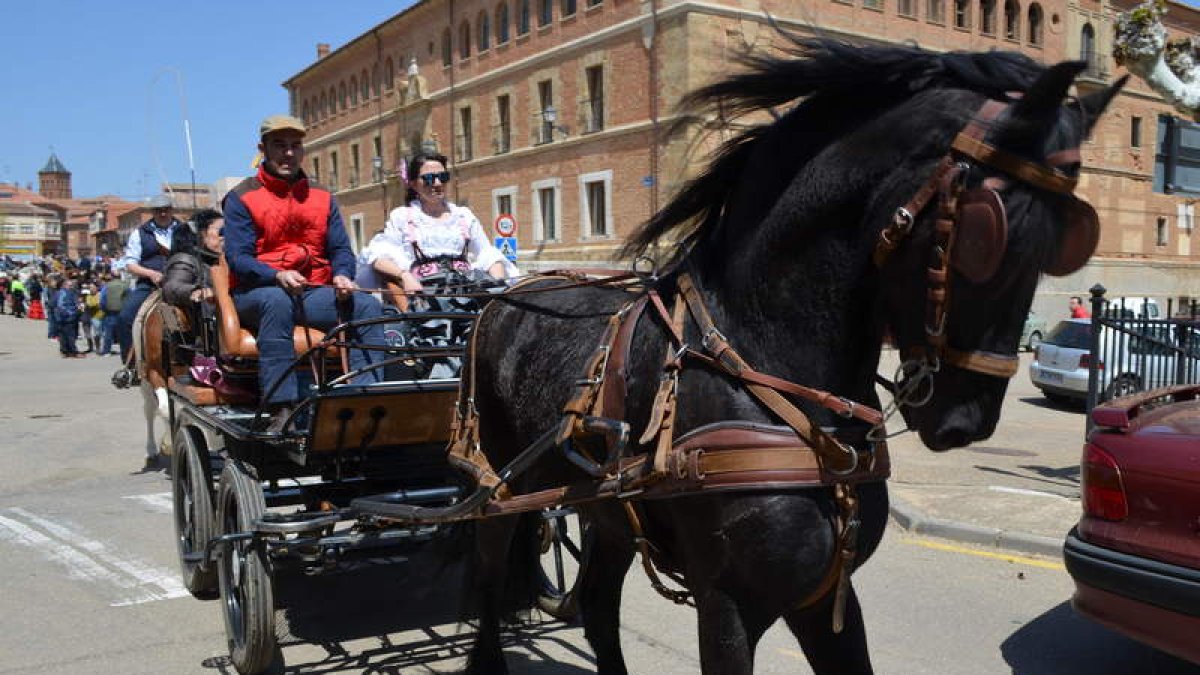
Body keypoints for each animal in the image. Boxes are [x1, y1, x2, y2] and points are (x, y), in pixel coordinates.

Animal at [459, 38, 1123, 674]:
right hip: (499, 491)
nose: (968, 420)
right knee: (488, 586)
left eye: (1063, 243)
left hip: (605, 513)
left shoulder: (825, 599)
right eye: (989, 233)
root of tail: (503, 299)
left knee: (597, 606)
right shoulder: (727, 607)